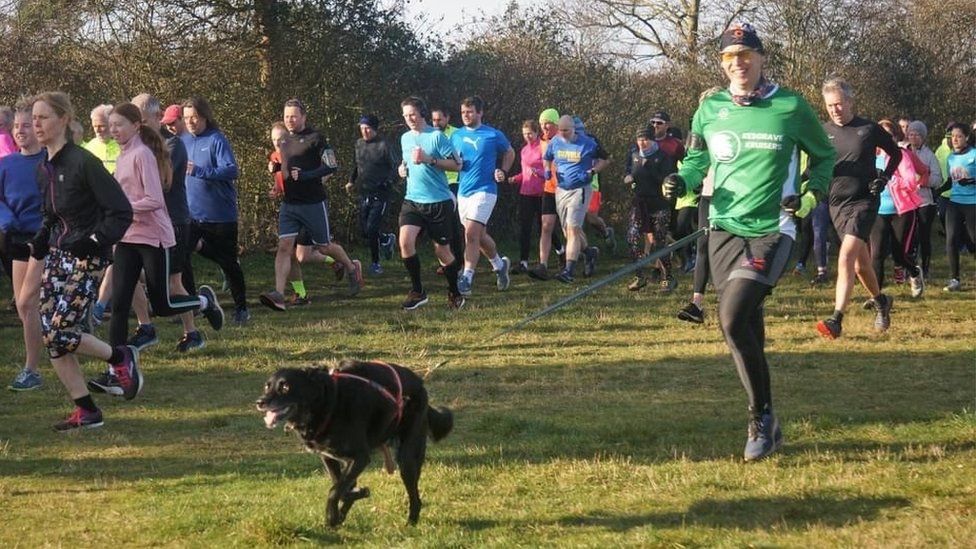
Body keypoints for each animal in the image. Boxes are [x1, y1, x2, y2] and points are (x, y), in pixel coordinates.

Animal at [255, 358, 454, 524]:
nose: (260, 402)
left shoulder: (360, 457)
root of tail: (420, 383)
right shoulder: (330, 458)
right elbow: (341, 488)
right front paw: (349, 504)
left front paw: (332, 517)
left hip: (407, 459)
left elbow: (335, 490)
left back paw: (410, 523)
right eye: (267, 387)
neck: (328, 402)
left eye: (285, 387)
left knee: (416, 498)